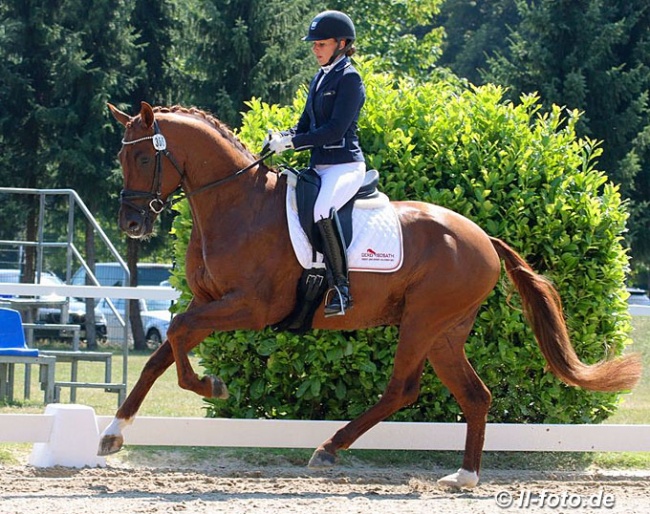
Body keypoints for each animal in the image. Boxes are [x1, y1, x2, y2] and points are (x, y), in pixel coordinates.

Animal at [100, 101, 636, 488]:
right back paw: (464, 476)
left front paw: (211, 386)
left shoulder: (250, 308)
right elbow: (161, 353)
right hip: (445, 332)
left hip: (422, 321)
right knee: (475, 395)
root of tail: (483, 237)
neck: (237, 204)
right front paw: (113, 433)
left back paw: (329, 448)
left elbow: (177, 333)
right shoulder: (207, 302)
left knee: (403, 389)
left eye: (145, 156)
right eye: (121, 158)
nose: (131, 223)